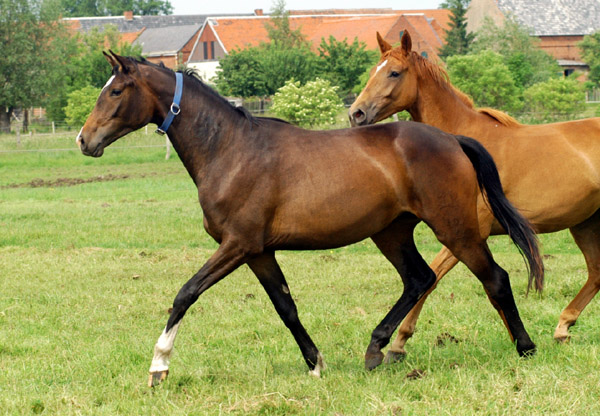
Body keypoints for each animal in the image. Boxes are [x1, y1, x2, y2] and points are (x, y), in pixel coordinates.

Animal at [76, 52, 544, 386]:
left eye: (116, 92)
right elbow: (286, 307)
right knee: (419, 279)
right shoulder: (259, 252)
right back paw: (376, 349)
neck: (229, 150)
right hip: (391, 233)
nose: (84, 140)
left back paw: (525, 348)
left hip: (456, 229)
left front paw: (159, 366)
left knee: (495, 279)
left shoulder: (237, 245)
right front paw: (315, 363)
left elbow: (185, 294)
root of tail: (452, 139)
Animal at [346, 30, 600, 360]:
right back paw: (563, 327)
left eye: (394, 73)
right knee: (596, 273)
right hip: (585, 223)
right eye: (372, 72)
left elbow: (436, 278)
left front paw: (398, 343)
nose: (356, 113)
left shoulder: (466, 234)